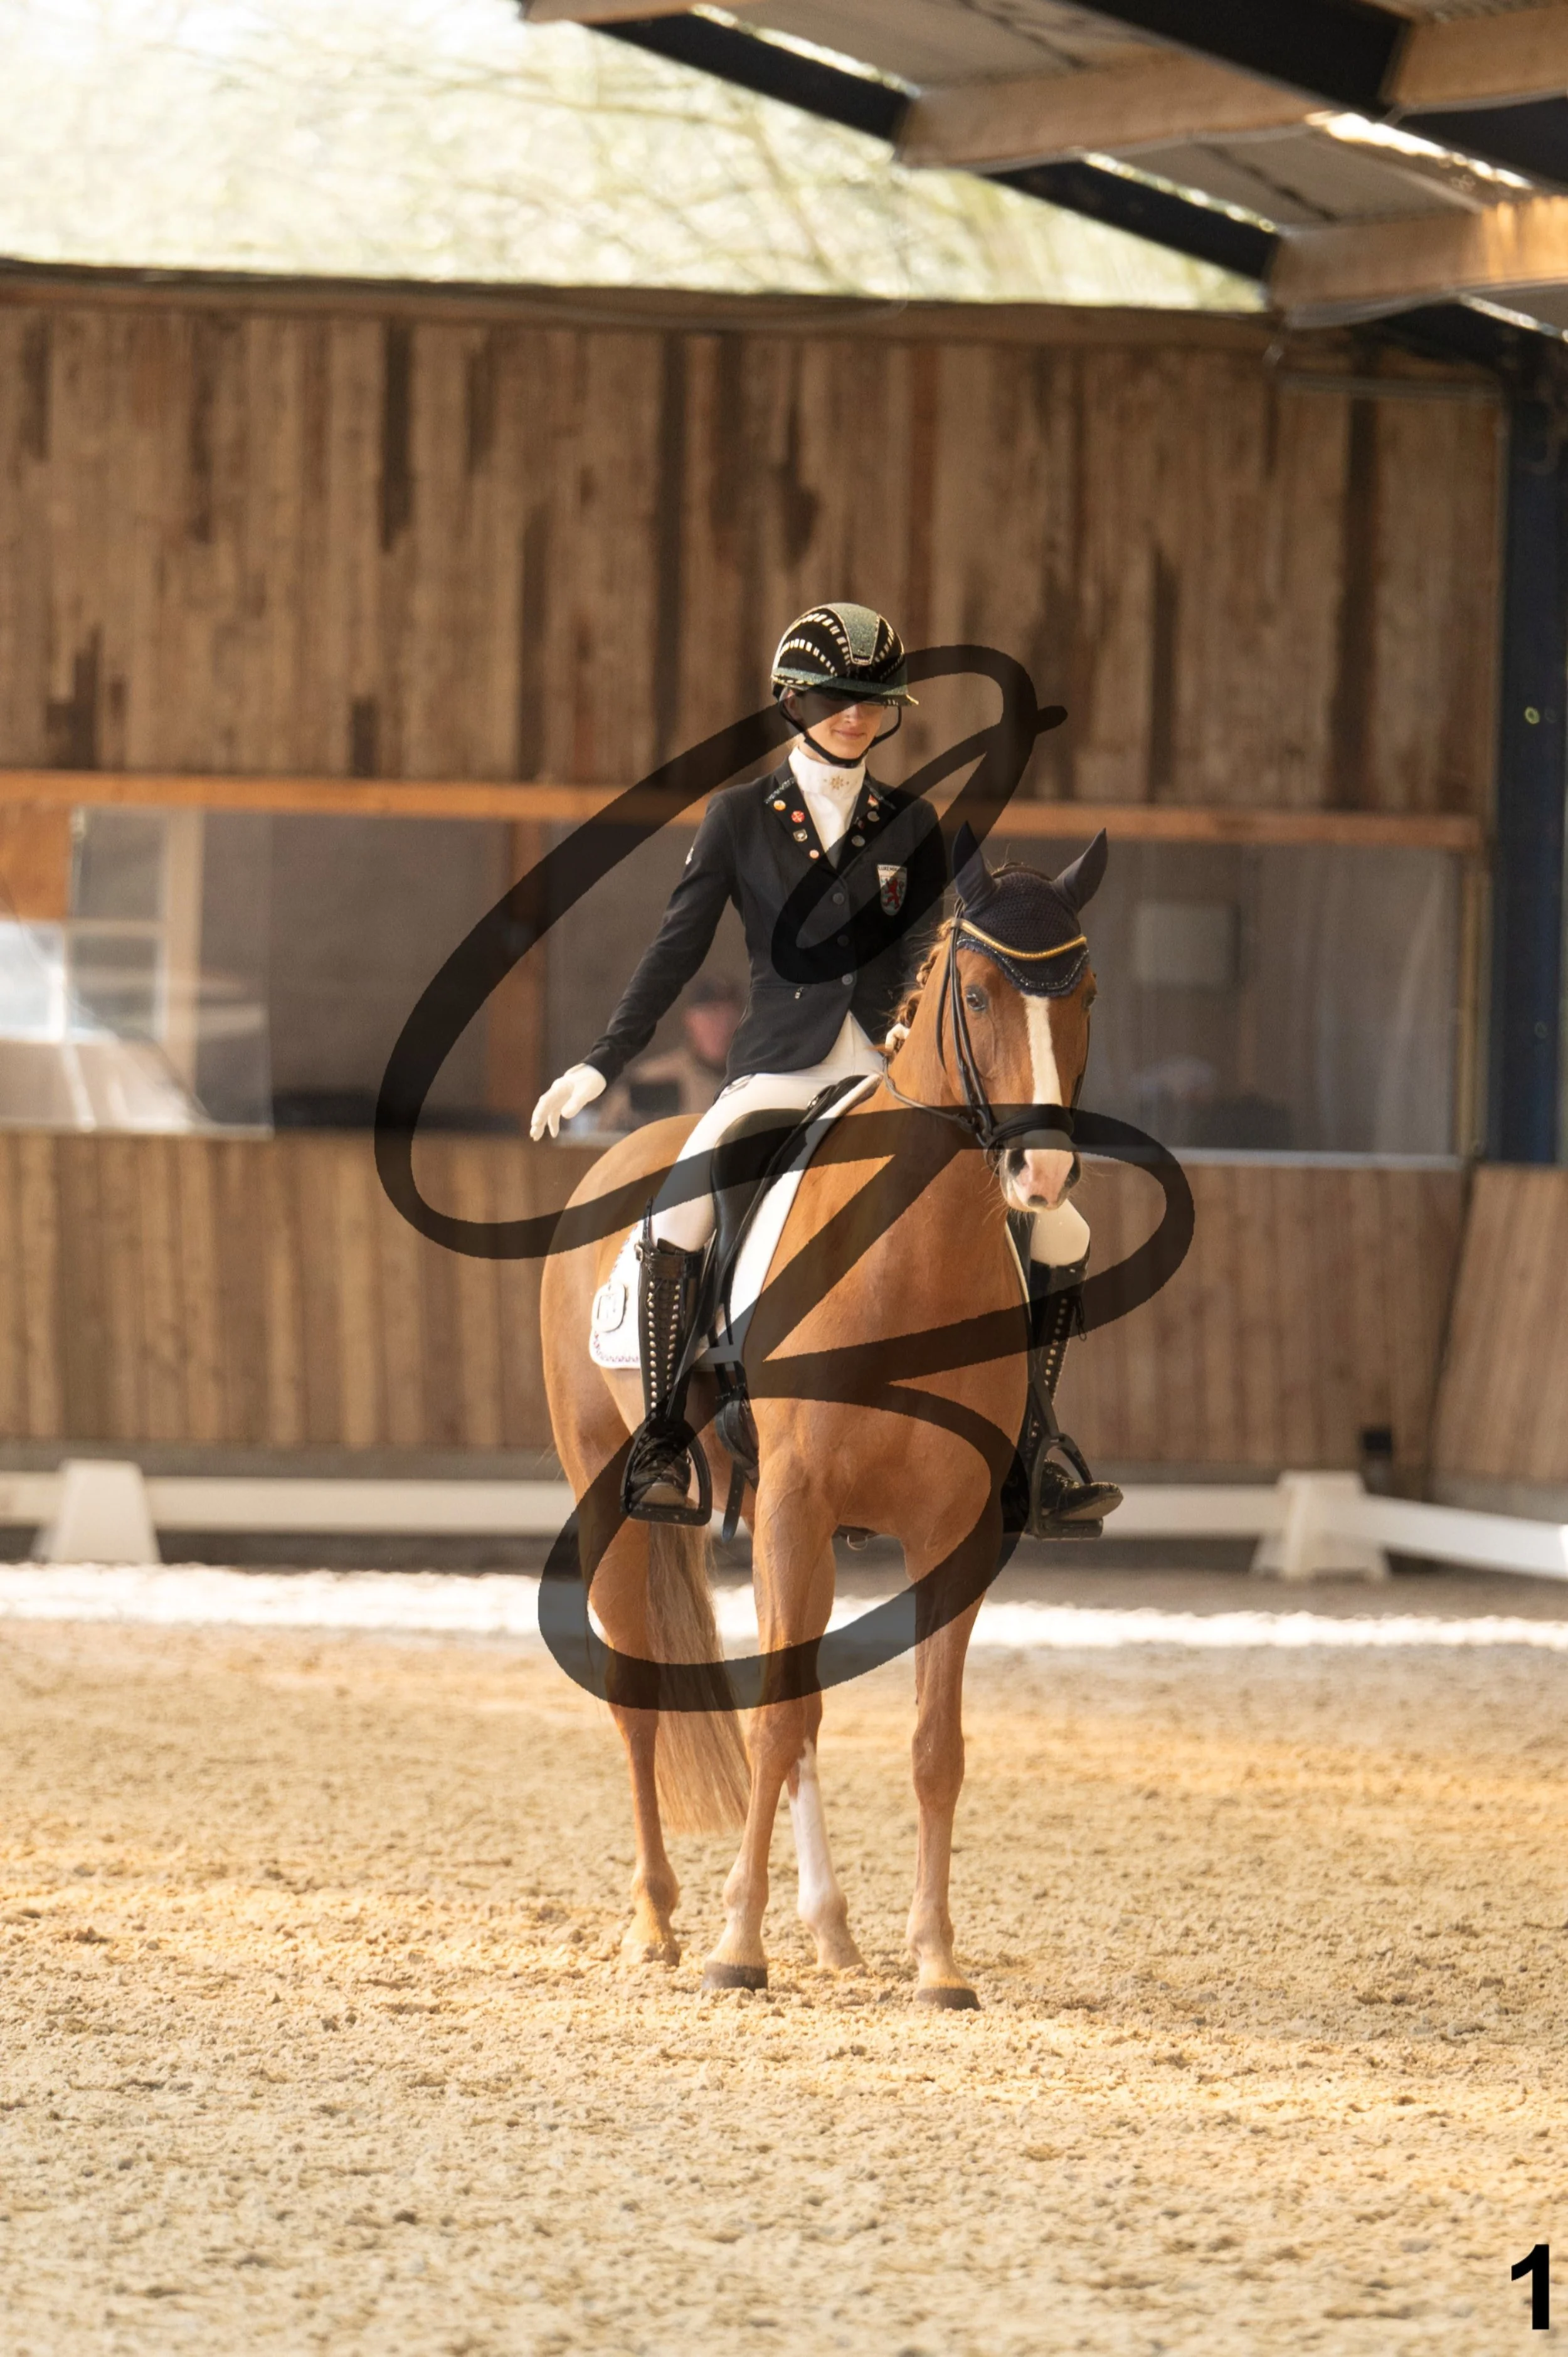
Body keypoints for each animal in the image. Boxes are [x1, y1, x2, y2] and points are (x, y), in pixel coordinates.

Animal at [539, 840, 1100, 2007]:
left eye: (1087, 997)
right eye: (976, 994)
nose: (1044, 1170)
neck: (911, 1256)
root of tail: (632, 1151)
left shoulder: (949, 1531)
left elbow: (931, 1742)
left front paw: (936, 1958)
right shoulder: (799, 1506)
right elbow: (776, 1717)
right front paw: (736, 1946)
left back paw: (831, 1928)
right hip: (615, 1491)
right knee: (638, 1694)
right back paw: (657, 1919)